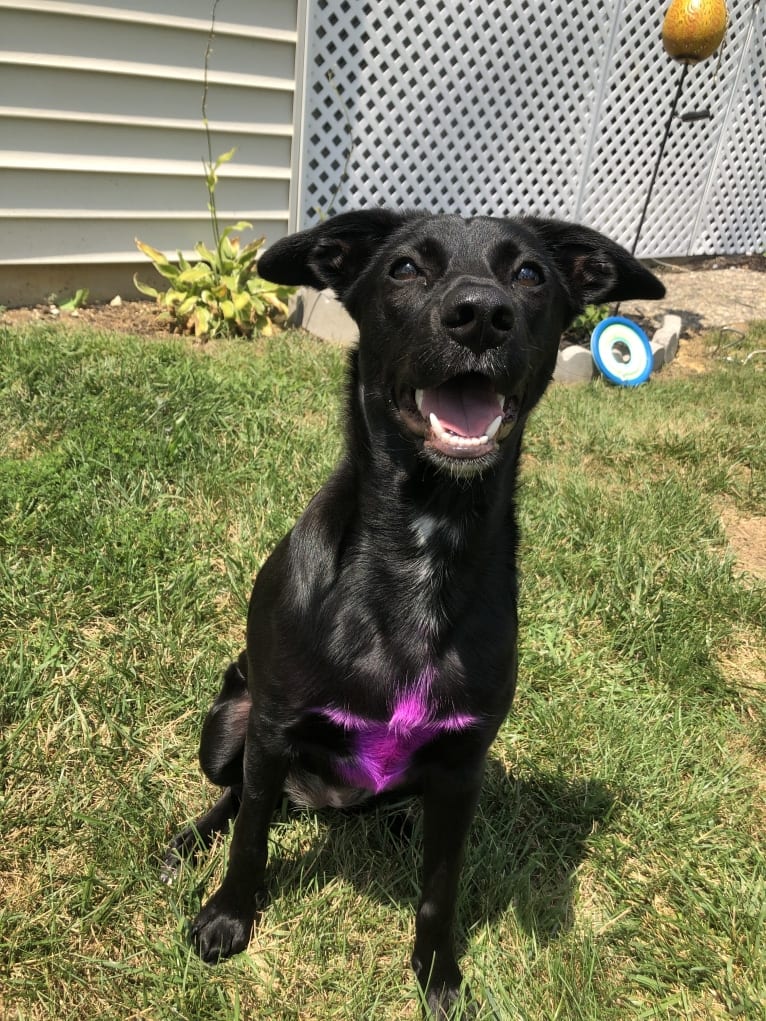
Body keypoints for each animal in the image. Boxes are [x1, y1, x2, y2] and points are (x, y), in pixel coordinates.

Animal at [166, 211, 665, 1016]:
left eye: (529, 274)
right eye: (404, 268)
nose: (481, 315)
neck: (426, 543)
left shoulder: (463, 767)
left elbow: (440, 889)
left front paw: (437, 975)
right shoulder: (271, 726)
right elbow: (248, 837)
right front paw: (227, 918)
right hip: (226, 723)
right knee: (236, 795)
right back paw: (188, 843)